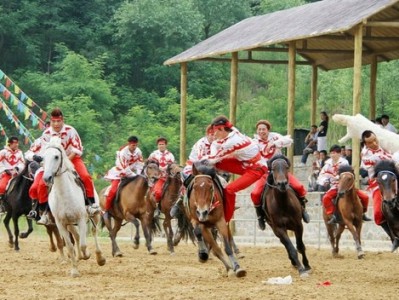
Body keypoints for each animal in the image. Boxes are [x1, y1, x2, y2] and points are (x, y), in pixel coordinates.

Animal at [42, 137, 106, 278]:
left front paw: (86, 255)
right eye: (43, 157)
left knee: (94, 232)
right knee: (76, 236)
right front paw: (74, 270)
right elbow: (70, 246)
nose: (47, 177)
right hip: (70, 223)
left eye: (56, 156)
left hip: (95, 216)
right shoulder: (61, 224)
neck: (65, 195)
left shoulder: (81, 219)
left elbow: (83, 244)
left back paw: (100, 258)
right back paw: (78, 257)